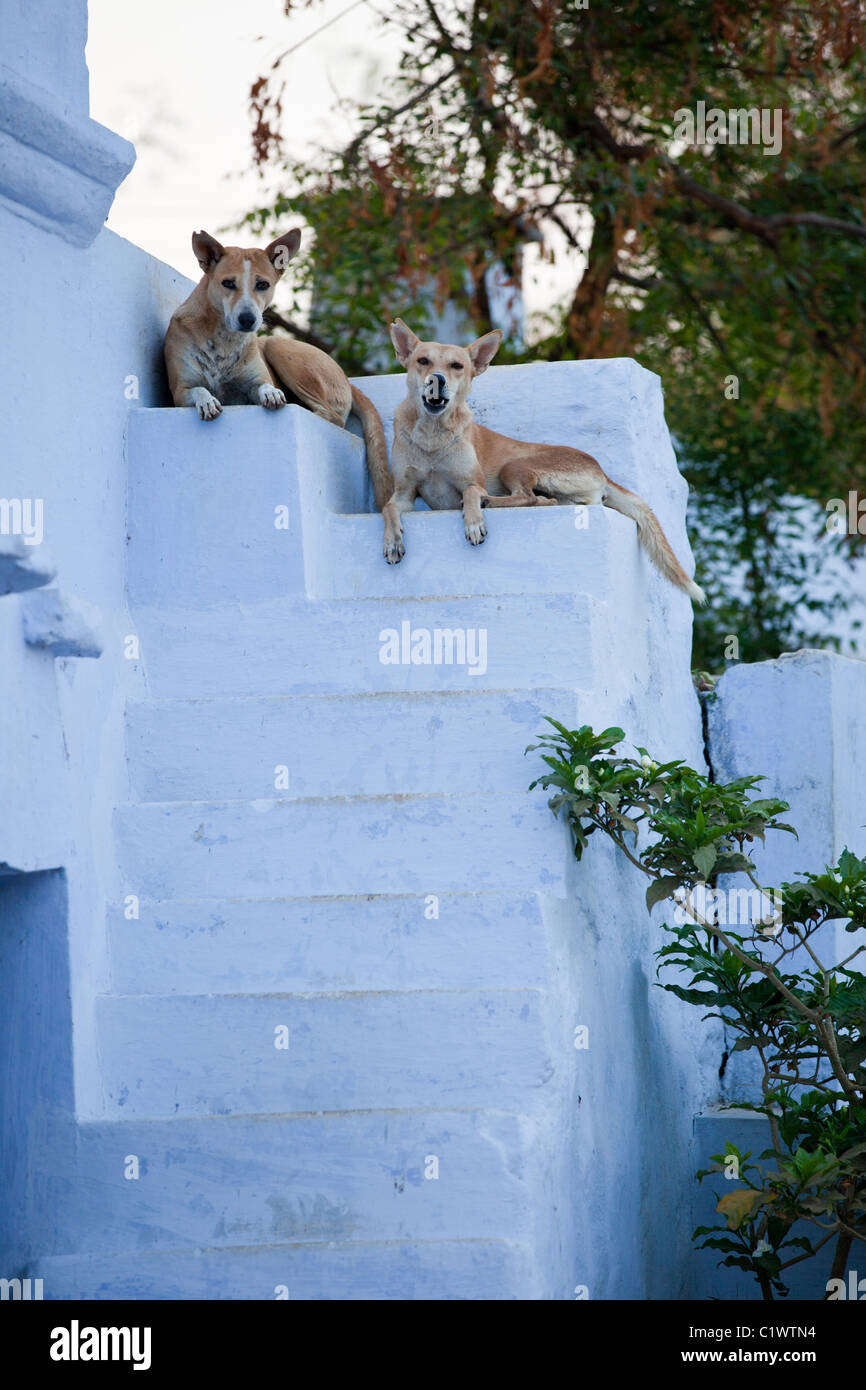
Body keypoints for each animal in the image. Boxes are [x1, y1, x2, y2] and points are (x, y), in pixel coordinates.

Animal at [163, 230, 391, 514]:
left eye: (263, 284)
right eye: (228, 283)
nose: (248, 319)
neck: (223, 337)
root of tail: (349, 382)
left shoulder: (255, 381)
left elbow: (263, 385)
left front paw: (271, 394)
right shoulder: (178, 393)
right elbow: (198, 389)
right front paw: (207, 401)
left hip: (278, 347)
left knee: (331, 417)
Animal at [383, 319, 708, 603]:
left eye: (456, 366)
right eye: (423, 361)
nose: (436, 380)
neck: (432, 436)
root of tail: (601, 470)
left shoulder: (472, 482)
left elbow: (472, 493)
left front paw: (474, 521)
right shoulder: (405, 493)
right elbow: (388, 508)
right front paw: (392, 541)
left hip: (514, 465)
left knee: (526, 497)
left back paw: (494, 502)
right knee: (550, 501)